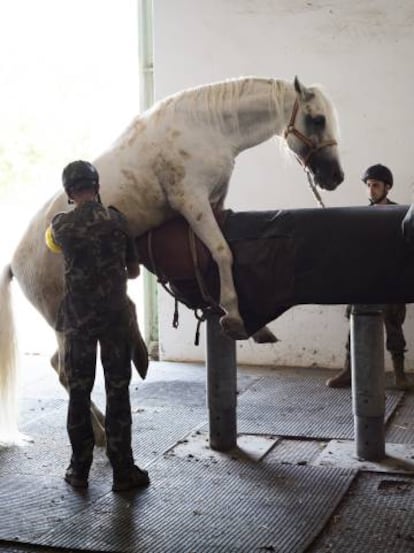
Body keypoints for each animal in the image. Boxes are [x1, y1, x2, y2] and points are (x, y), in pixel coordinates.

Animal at [0, 74, 342, 444]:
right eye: (317, 119)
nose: (335, 177)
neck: (206, 127)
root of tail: (15, 263)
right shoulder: (192, 201)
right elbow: (222, 251)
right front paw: (235, 315)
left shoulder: (214, 203)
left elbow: (216, 255)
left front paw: (250, 322)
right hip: (68, 326)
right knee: (67, 373)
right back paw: (100, 431)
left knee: (58, 367)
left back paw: (101, 428)